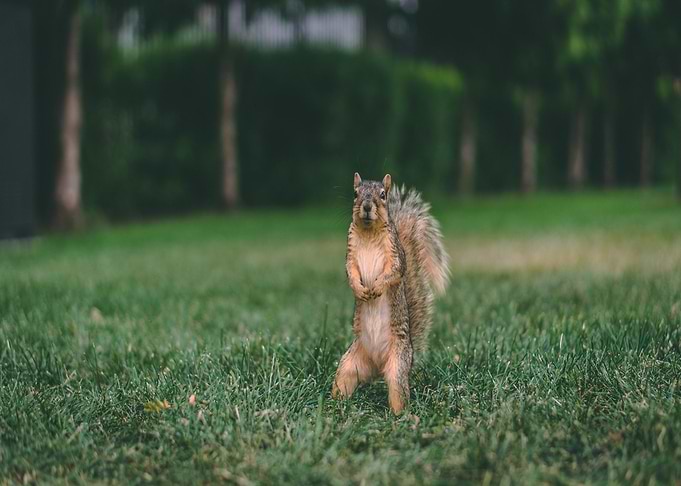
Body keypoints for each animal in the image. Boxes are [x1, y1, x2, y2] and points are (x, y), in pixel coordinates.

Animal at [331, 172, 450, 414]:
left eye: (383, 195)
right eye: (355, 193)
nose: (367, 206)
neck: (369, 232)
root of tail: (377, 366)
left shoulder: (395, 254)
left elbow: (394, 272)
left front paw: (376, 287)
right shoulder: (350, 254)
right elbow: (350, 272)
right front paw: (360, 289)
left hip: (398, 365)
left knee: (398, 391)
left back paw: (400, 416)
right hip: (349, 365)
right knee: (343, 380)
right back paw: (334, 406)